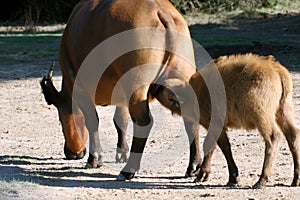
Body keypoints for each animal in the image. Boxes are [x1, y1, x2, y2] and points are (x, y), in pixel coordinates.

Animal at [39, 0, 199, 180]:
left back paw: (128, 170)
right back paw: (193, 166)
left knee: (144, 122)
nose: (71, 153)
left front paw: (94, 159)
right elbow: (120, 122)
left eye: (60, 119)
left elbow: (92, 121)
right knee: (191, 119)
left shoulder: (80, 89)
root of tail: (160, 11)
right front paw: (122, 153)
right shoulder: (121, 97)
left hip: (136, 89)